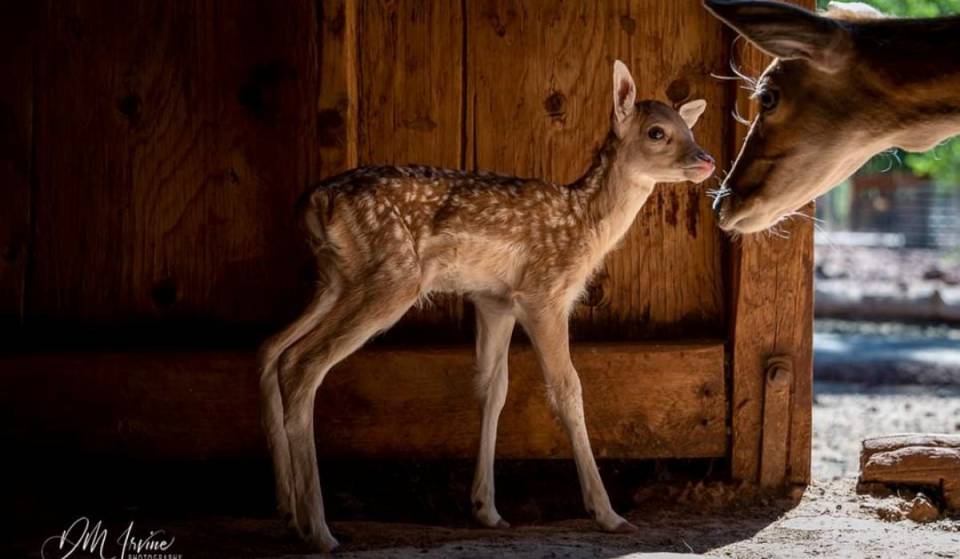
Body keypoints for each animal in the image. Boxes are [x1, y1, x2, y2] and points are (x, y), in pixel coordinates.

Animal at [258, 60, 714, 552]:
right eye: (657, 132)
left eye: (689, 127)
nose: (707, 159)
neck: (584, 225)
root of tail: (314, 201)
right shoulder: (544, 293)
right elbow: (567, 389)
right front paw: (607, 514)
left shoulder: (494, 299)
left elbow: (493, 388)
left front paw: (487, 510)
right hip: (391, 277)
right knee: (303, 362)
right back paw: (320, 531)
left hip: (336, 279)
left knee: (272, 349)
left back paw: (289, 512)